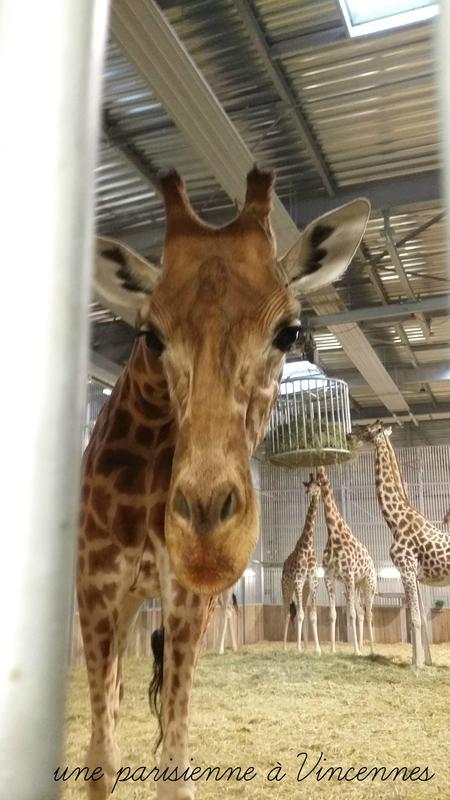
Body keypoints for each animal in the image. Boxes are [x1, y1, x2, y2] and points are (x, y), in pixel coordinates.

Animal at [78, 167, 370, 799]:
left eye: (290, 333)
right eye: (150, 336)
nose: (208, 541)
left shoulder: (188, 598)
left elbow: (175, 767)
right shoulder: (94, 585)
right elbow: (101, 755)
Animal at [313, 467, 376, 656]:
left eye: (317, 481)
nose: (319, 469)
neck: (334, 536)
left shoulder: (348, 575)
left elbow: (351, 614)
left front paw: (355, 651)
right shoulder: (329, 577)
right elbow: (333, 613)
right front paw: (333, 649)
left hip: (368, 584)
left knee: (368, 613)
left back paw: (371, 649)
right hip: (357, 586)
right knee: (361, 611)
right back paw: (362, 646)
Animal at [352, 421, 450, 668]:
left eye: (367, 429)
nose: (349, 435)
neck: (395, 520)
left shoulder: (406, 568)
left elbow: (415, 618)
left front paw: (417, 666)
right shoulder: (413, 574)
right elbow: (419, 618)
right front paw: (419, 660)